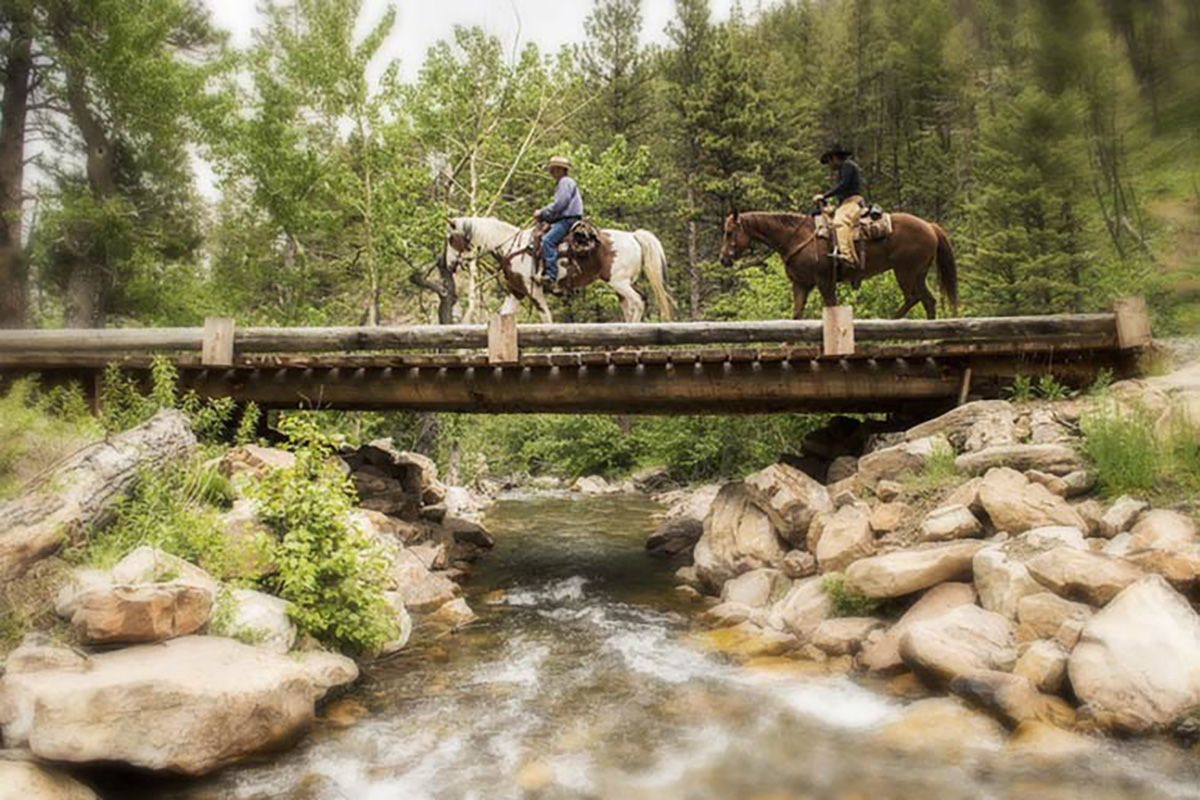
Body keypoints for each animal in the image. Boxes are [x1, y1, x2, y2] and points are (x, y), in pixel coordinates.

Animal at [448, 217, 676, 323]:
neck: (512, 247)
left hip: (619, 282)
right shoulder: (516, 292)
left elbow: (546, 317)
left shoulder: (534, 290)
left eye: (450, 239)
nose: (449, 265)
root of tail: (633, 236)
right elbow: (505, 316)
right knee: (631, 306)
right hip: (623, 284)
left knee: (638, 302)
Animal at [720, 211, 955, 321]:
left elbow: (831, 307)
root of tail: (930, 226)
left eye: (729, 232)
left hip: (905, 272)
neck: (797, 237)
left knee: (912, 298)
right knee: (928, 301)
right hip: (918, 275)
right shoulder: (801, 284)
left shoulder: (824, 281)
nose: (723, 259)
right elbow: (796, 315)